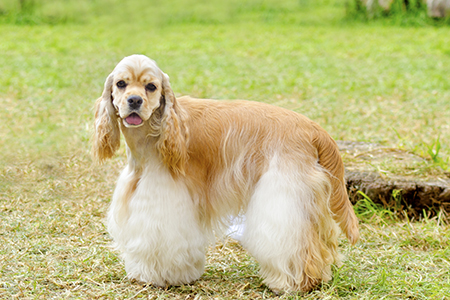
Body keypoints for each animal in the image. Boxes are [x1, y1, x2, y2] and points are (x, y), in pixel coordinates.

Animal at [93, 54, 360, 292]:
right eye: (121, 83)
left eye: (151, 86)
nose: (134, 100)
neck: (154, 132)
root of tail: (313, 128)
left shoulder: (165, 198)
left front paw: (163, 276)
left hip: (284, 191)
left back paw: (294, 283)